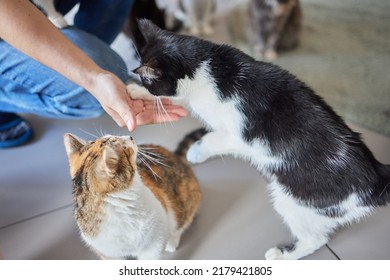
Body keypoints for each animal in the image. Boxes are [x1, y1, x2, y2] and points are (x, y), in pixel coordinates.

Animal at [62, 130, 203, 260]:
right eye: (123, 147)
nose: (130, 136)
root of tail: (173, 155)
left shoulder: (154, 244)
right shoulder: (107, 253)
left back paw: (172, 241)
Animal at [132, 19, 390, 260]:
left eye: (150, 81)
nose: (141, 82)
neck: (207, 67)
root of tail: (376, 179)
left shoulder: (240, 136)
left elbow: (214, 137)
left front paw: (194, 152)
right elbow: (177, 100)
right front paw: (134, 92)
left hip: (297, 203)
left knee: (316, 239)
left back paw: (282, 255)